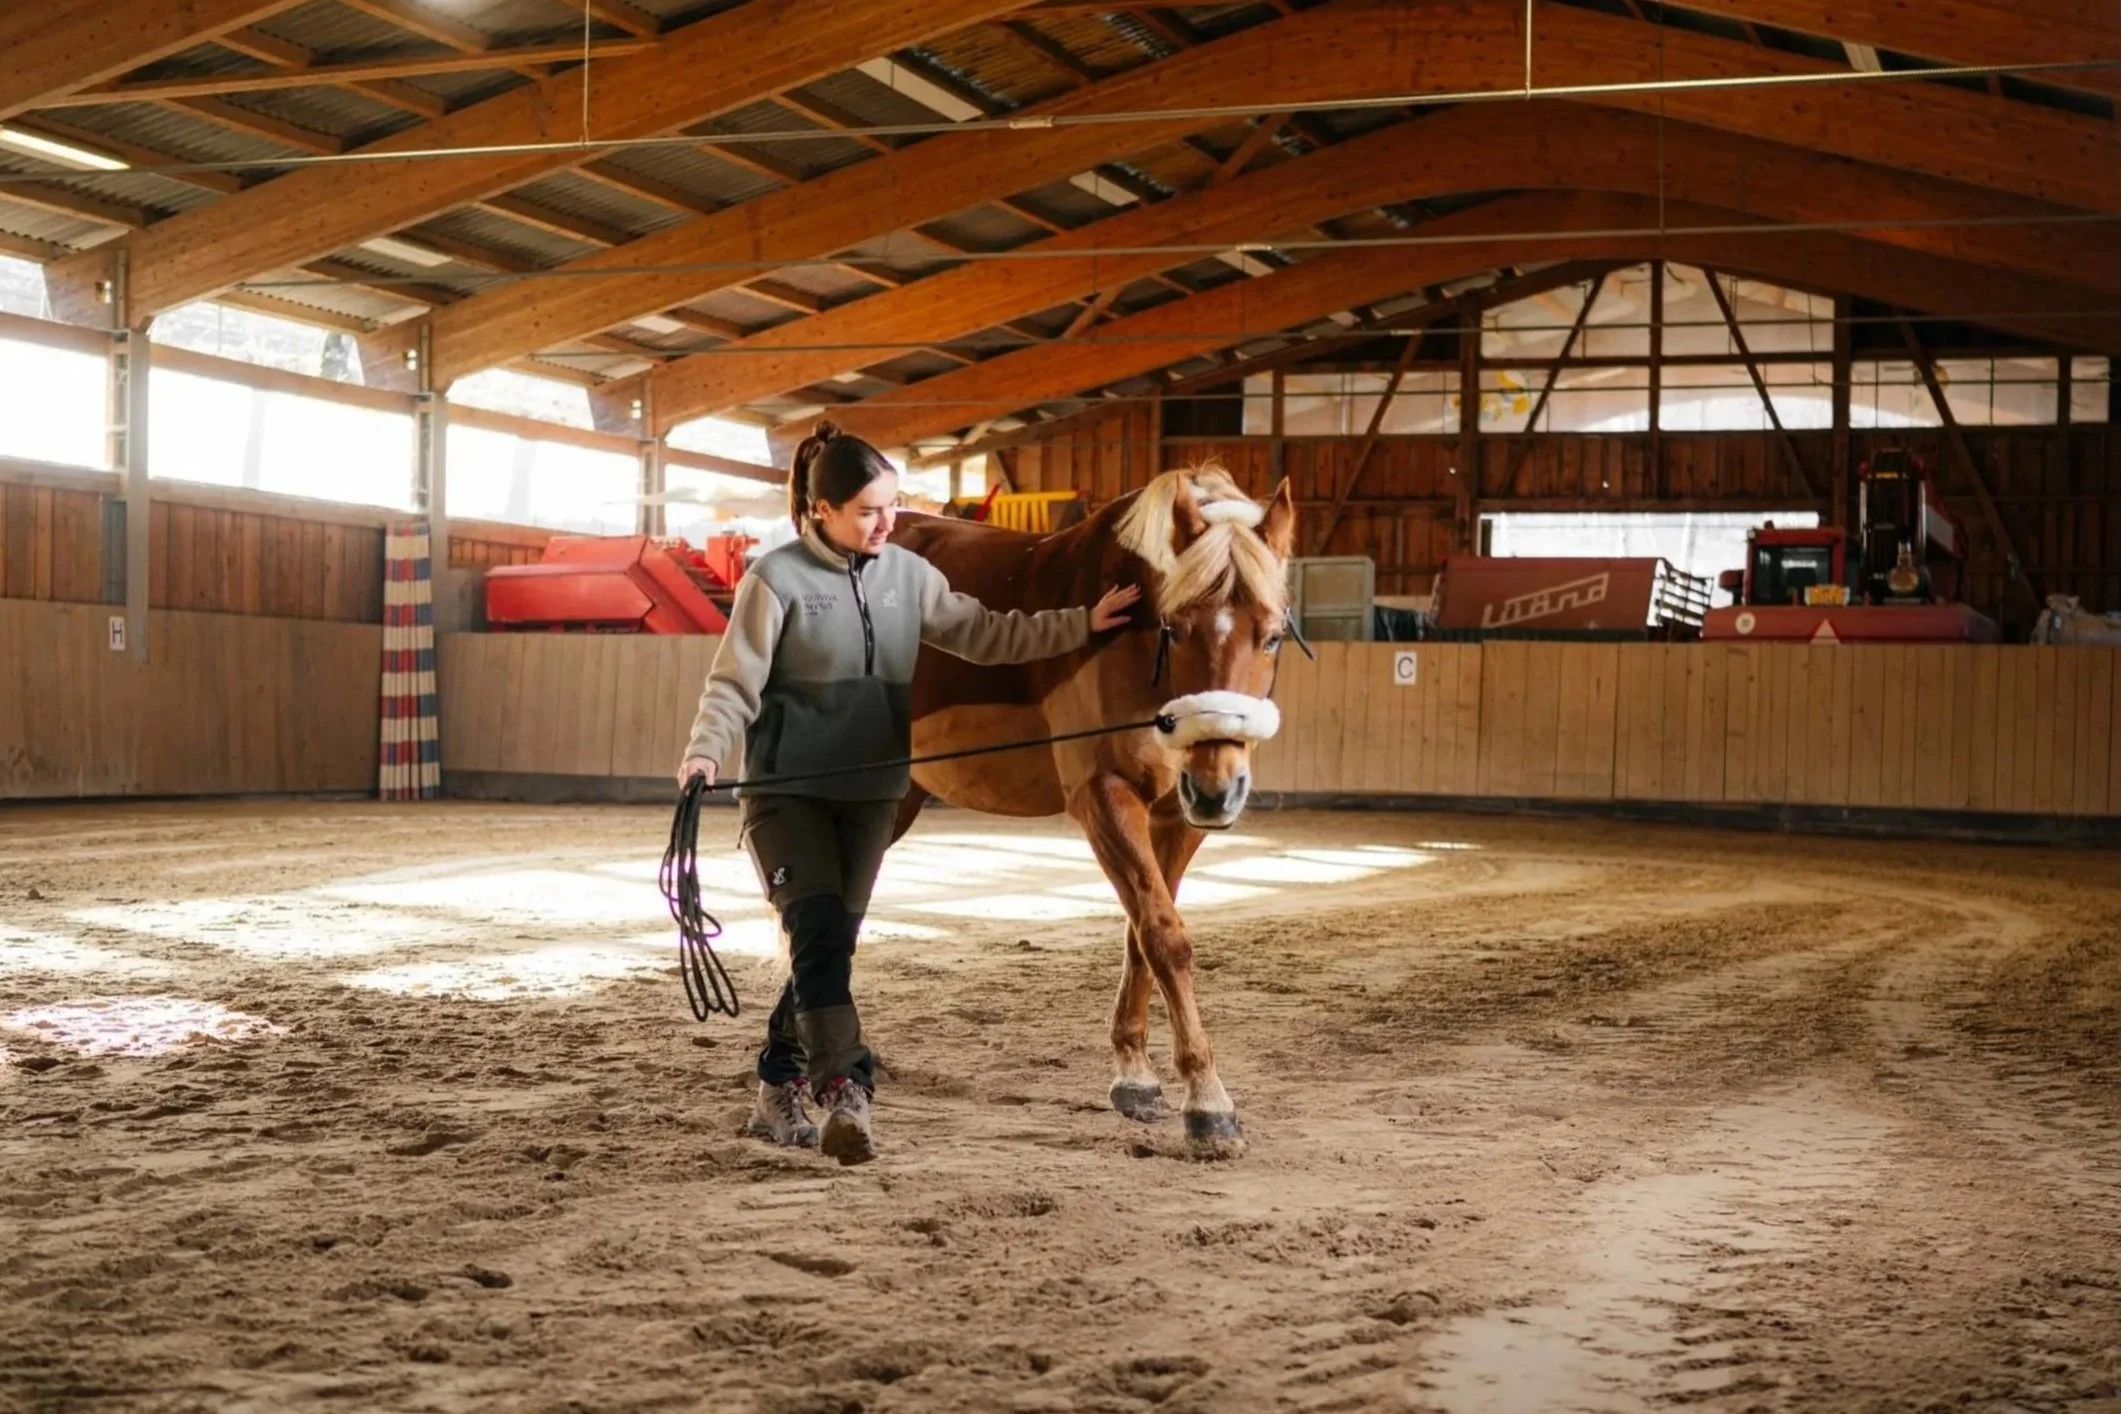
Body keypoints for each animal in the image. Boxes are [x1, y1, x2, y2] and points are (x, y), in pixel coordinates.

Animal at [889, 464, 1295, 1156]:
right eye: (1176, 628)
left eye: (1270, 635)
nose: (1217, 790)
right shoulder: (1103, 795)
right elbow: (1165, 936)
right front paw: (1208, 1103)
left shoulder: (1173, 817)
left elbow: (1143, 933)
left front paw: (1135, 1076)